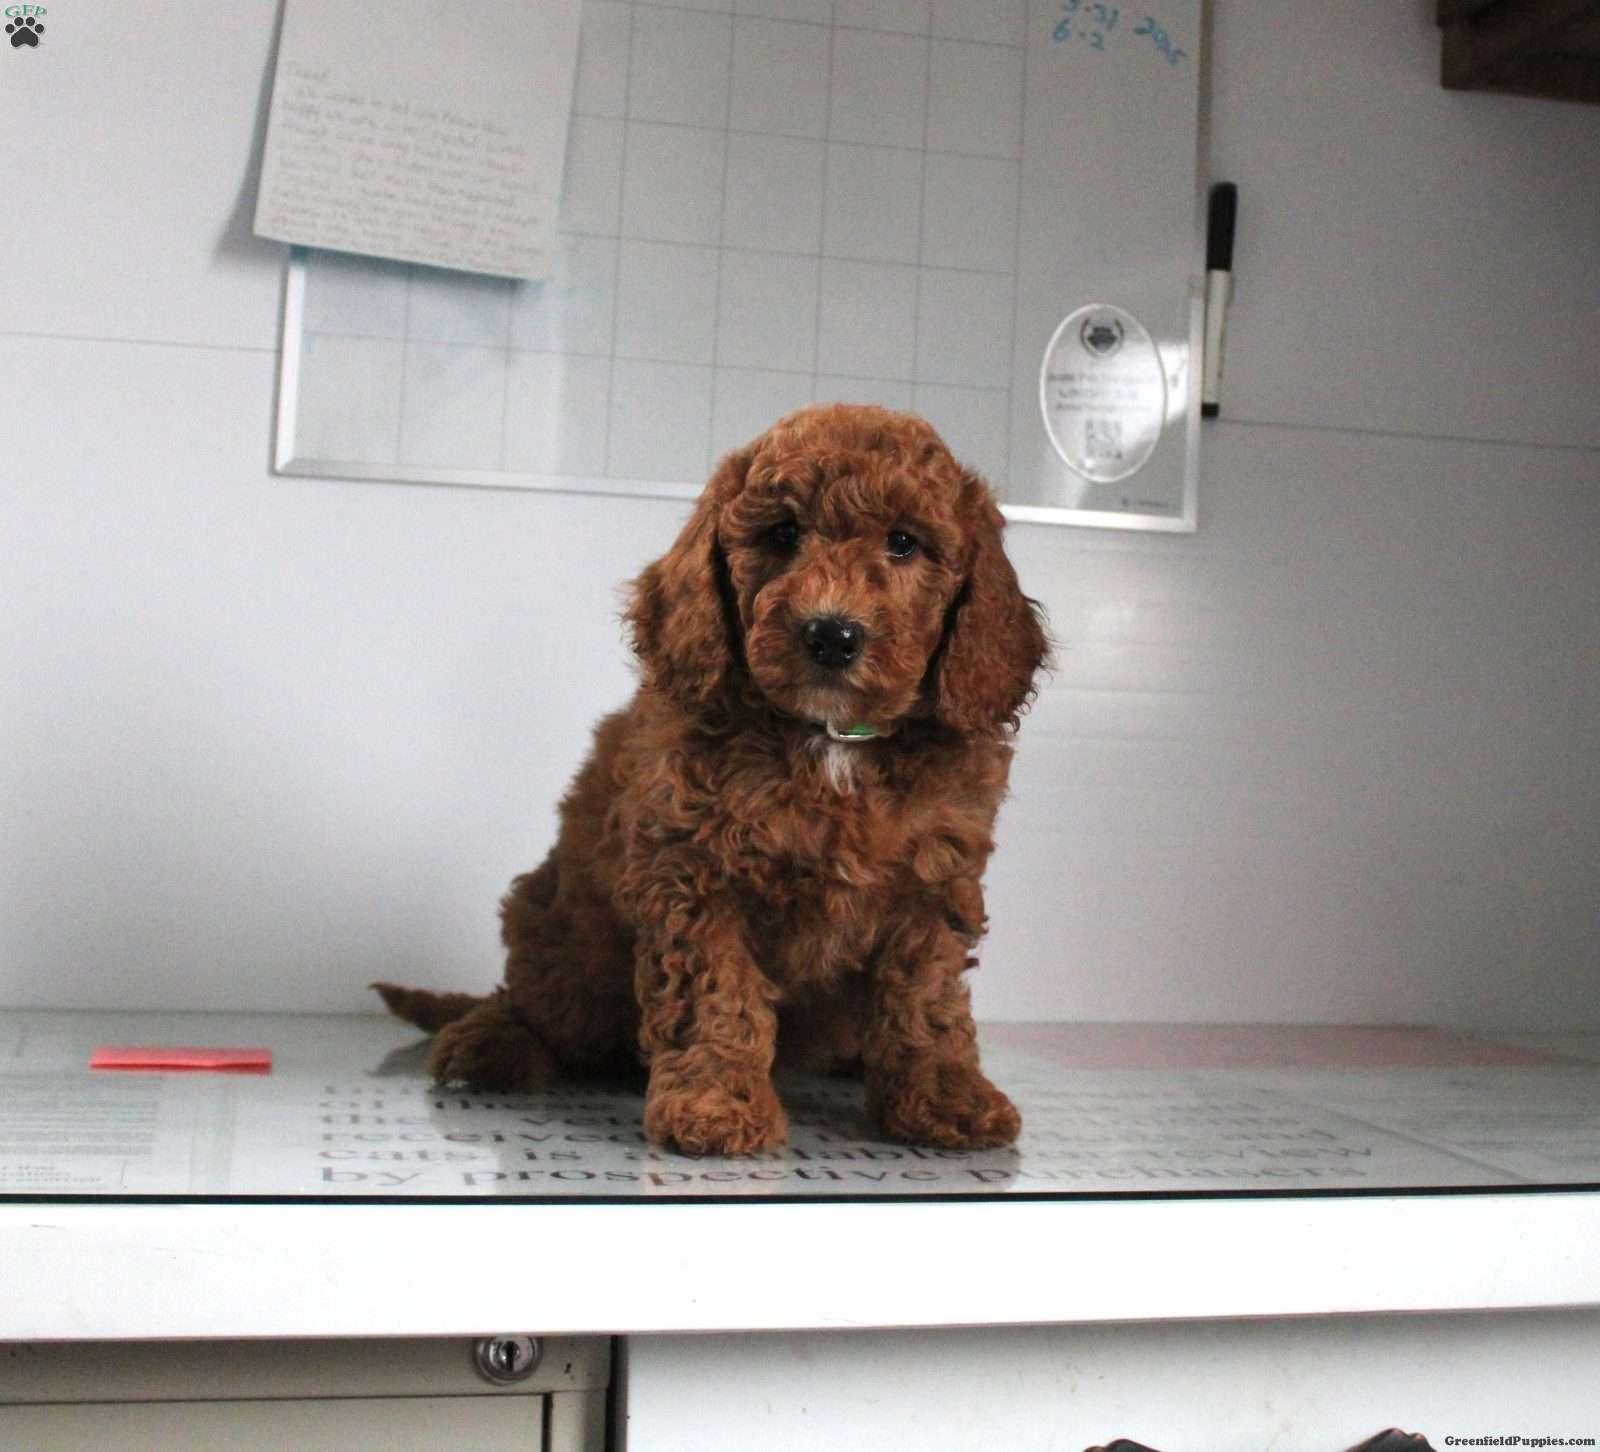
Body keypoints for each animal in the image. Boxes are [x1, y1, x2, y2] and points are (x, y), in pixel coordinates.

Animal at [376, 404, 1048, 1156]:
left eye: (903, 543)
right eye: (782, 534)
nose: (832, 635)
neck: (830, 741)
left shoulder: (932, 886)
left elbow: (925, 1001)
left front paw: (946, 1097)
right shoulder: (694, 873)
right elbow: (714, 996)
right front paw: (715, 1104)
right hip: (568, 952)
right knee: (530, 1005)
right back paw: (489, 1044)